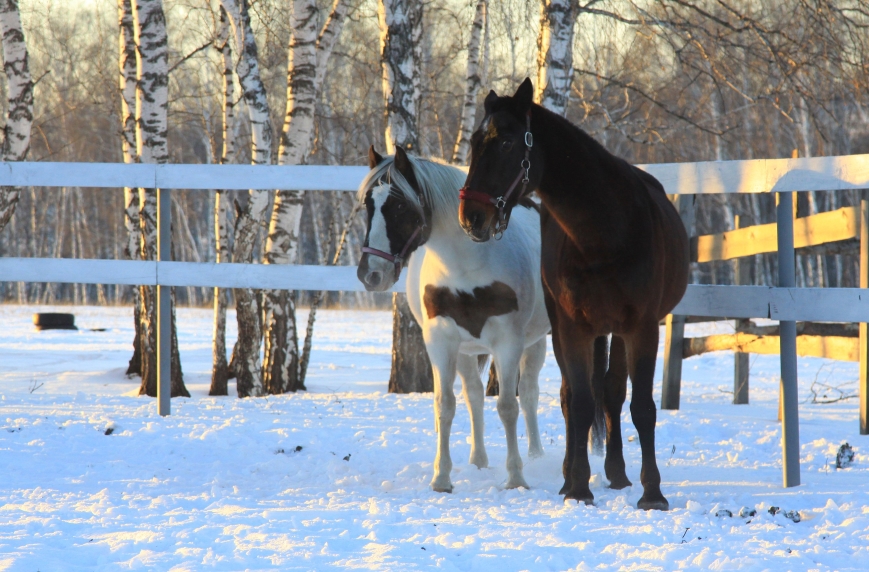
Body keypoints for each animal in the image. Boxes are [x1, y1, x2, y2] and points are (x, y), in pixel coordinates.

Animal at [354, 147, 544, 492]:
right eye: (369, 205)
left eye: (400, 205)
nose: (371, 274)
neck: (467, 266)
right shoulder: (441, 342)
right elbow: (445, 405)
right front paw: (441, 478)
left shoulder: (509, 342)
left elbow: (508, 406)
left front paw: (516, 477)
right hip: (466, 352)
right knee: (474, 396)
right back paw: (478, 460)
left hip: (536, 343)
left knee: (529, 394)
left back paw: (536, 457)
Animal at [458, 79, 688, 510]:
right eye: (476, 142)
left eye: (507, 142)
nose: (471, 217)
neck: (605, 231)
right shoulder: (574, 328)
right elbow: (579, 403)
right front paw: (578, 487)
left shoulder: (642, 327)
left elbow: (641, 407)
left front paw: (652, 493)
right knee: (571, 398)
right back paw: (570, 476)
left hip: (616, 331)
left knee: (613, 393)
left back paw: (618, 474)